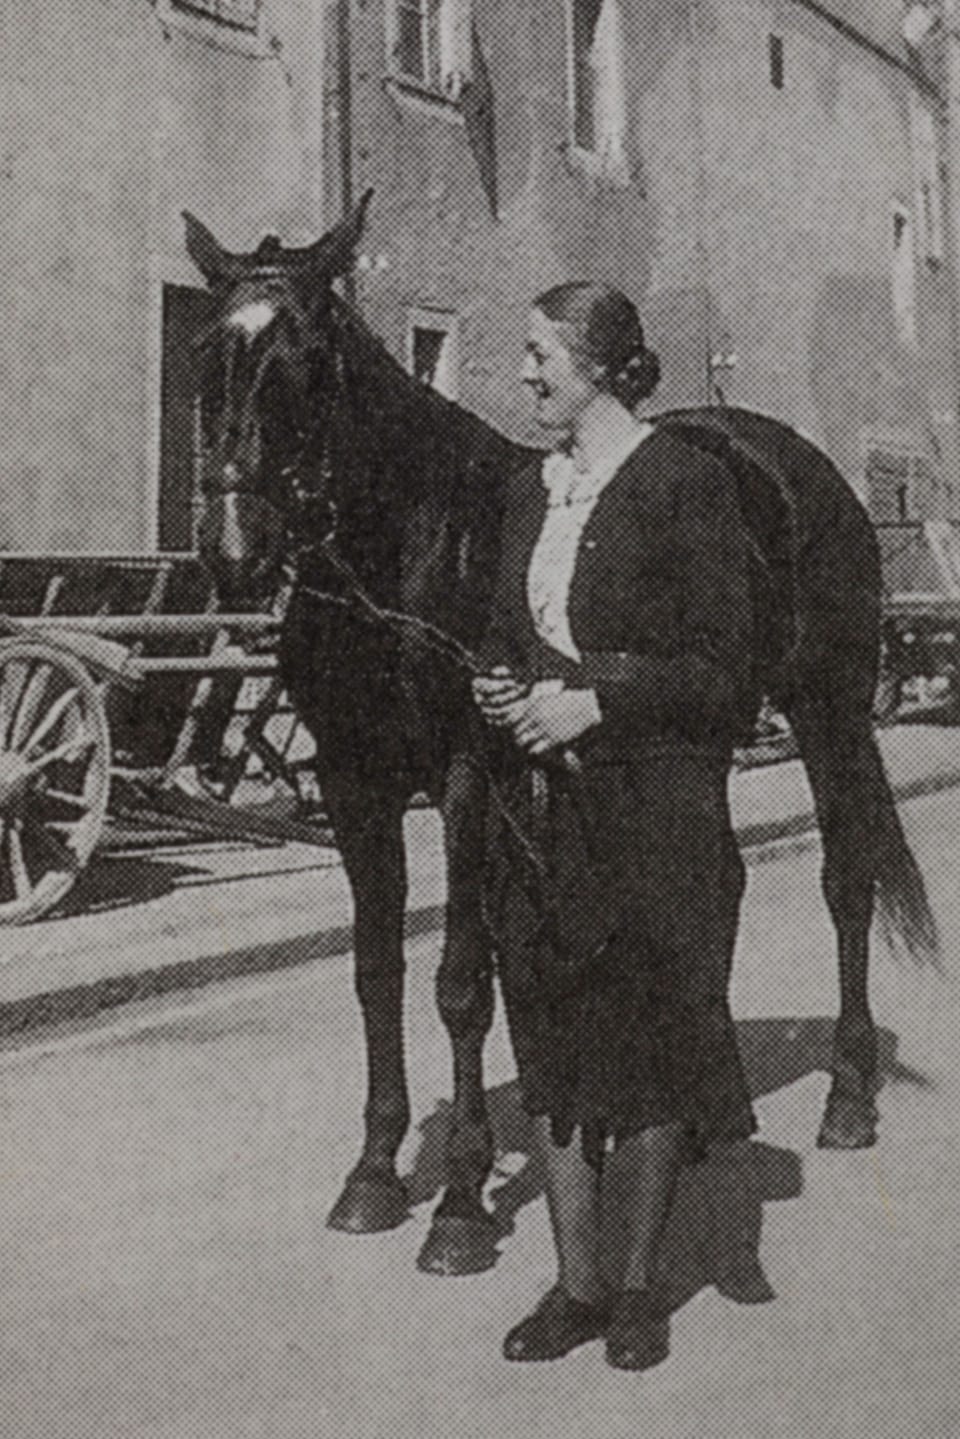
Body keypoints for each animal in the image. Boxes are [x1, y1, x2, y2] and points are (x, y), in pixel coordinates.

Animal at [185, 200, 938, 1272]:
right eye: (208, 351)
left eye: (312, 357)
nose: (236, 551)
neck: (408, 543)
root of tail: (801, 468)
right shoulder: (352, 779)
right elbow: (378, 971)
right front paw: (374, 1173)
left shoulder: (469, 773)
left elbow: (463, 979)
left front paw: (460, 1204)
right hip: (696, 723)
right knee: (715, 881)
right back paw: (697, 1115)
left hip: (829, 706)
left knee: (846, 880)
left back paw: (845, 1096)